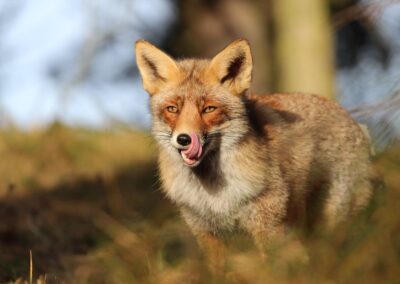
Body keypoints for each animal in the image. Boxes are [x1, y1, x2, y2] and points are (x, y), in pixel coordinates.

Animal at [134, 38, 372, 270]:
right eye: (172, 109)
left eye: (209, 109)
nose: (184, 139)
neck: (214, 192)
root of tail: (352, 119)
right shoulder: (205, 229)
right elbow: (218, 272)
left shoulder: (266, 224)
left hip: (329, 221)